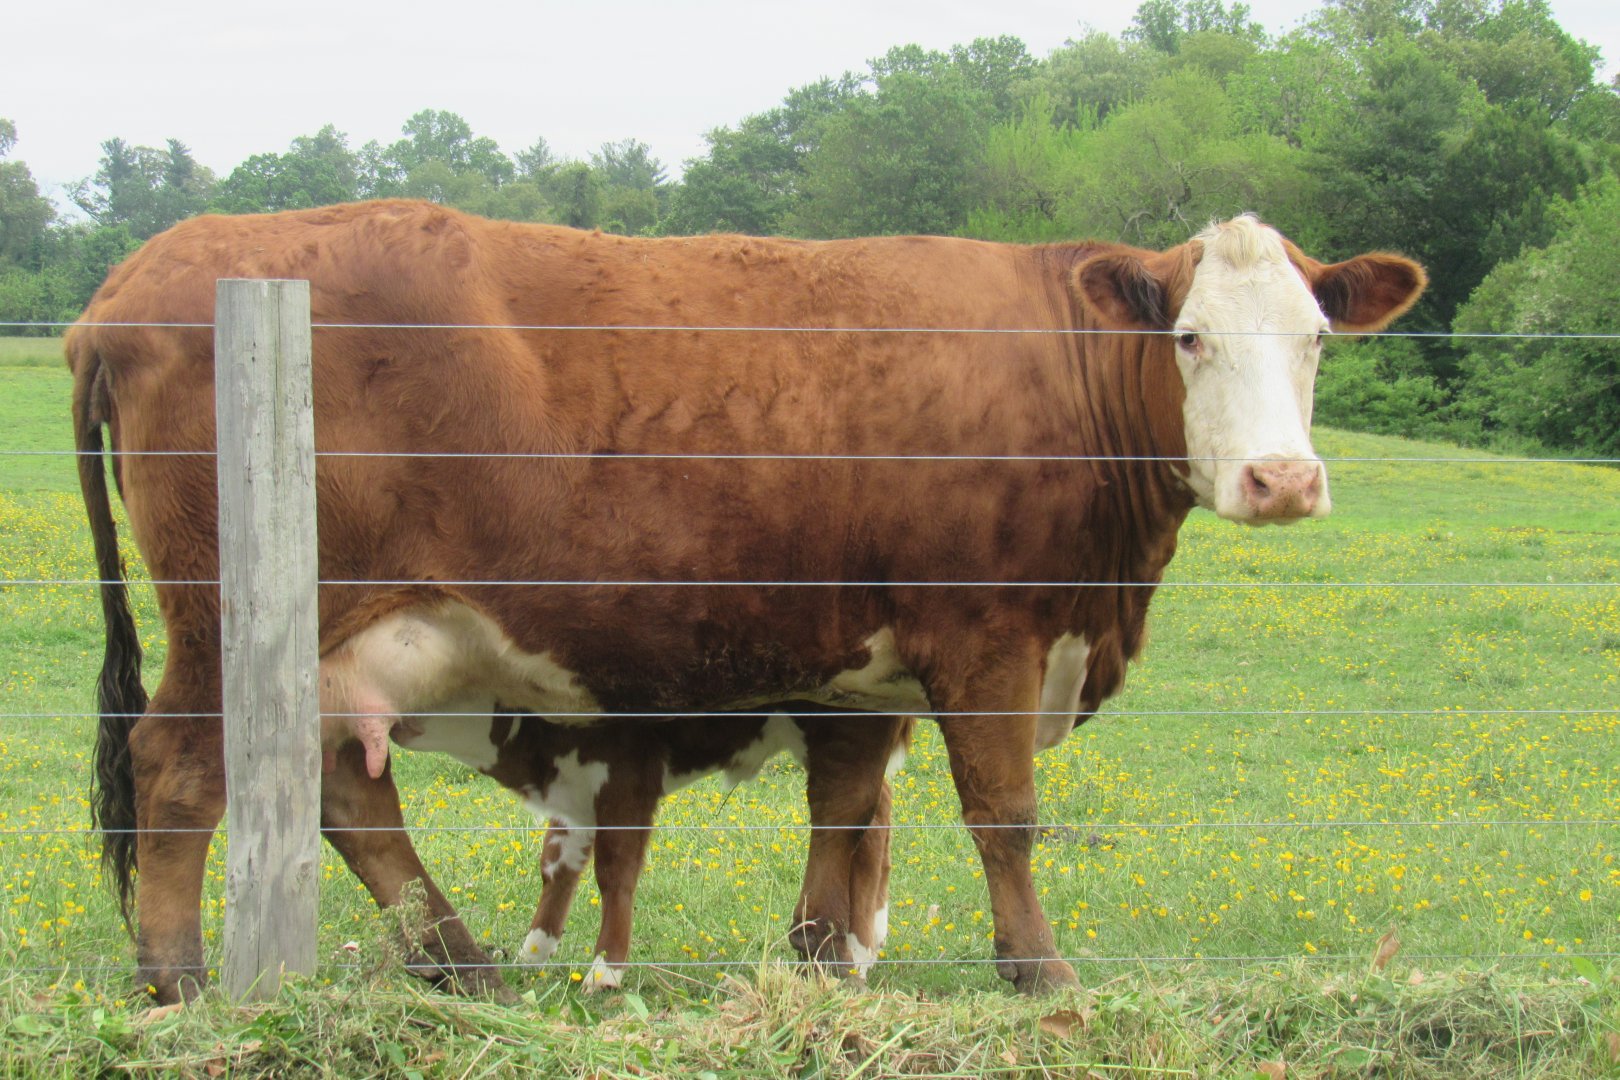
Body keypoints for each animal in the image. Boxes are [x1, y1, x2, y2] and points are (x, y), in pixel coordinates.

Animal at [397, 705, 911, 989]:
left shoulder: (627, 775)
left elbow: (614, 869)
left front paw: (604, 971)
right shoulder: (575, 786)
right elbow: (556, 863)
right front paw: (534, 954)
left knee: (857, 823)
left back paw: (859, 951)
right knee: (878, 814)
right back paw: (870, 940)